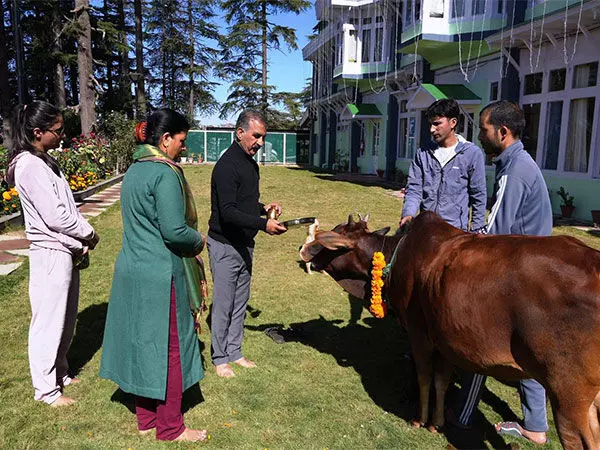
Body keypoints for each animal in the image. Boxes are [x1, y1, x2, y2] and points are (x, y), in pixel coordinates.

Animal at [300, 212, 600, 450]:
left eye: (329, 240)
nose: (302, 250)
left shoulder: (419, 332)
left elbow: (424, 376)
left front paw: (420, 420)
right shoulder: (446, 340)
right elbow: (441, 381)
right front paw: (438, 422)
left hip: (568, 395)